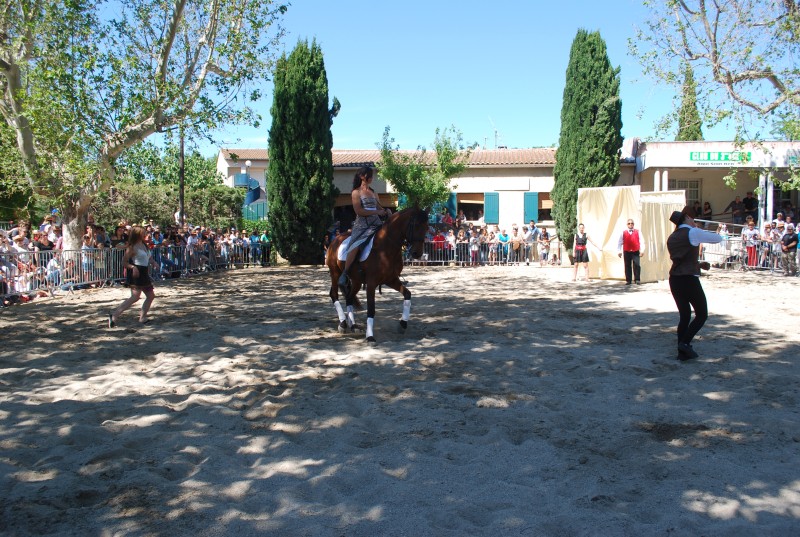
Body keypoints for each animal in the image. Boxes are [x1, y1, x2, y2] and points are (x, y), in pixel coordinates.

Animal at [324, 207, 428, 342]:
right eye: (416, 225)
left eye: (427, 227)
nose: (417, 253)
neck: (385, 247)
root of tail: (335, 239)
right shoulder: (371, 283)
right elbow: (371, 309)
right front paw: (370, 336)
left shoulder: (391, 279)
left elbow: (407, 294)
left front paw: (403, 324)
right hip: (335, 273)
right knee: (334, 294)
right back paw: (343, 324)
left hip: (356, 281)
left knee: (349, 297)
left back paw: (354, 326)